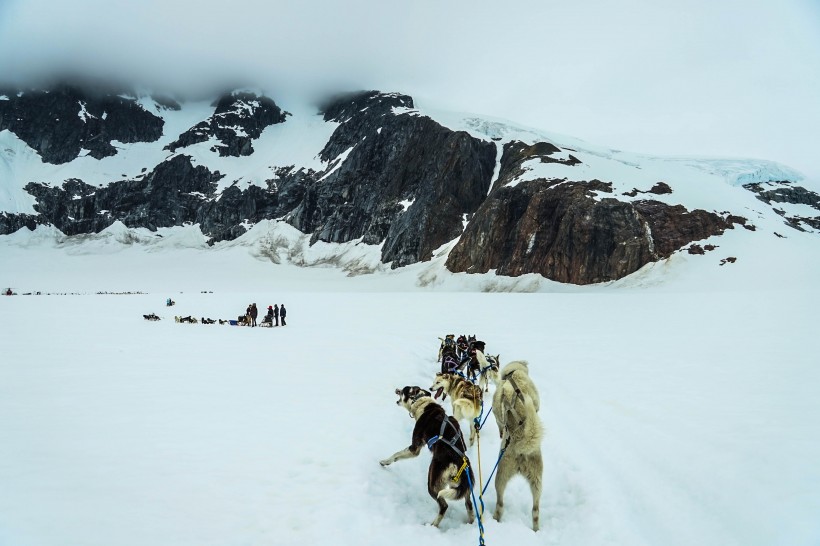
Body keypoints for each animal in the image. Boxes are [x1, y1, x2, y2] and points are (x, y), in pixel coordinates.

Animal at [382, 384, 478, 524]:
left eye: (404, 389)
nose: (396, 389)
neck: (422, 403)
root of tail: (457, 463)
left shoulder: (414, 448)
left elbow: (396, 455)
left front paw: (385, 462)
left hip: (433, 485)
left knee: (444, 506)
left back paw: (433, 524)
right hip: (460, 488)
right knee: (469, 504)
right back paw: (470, 522)